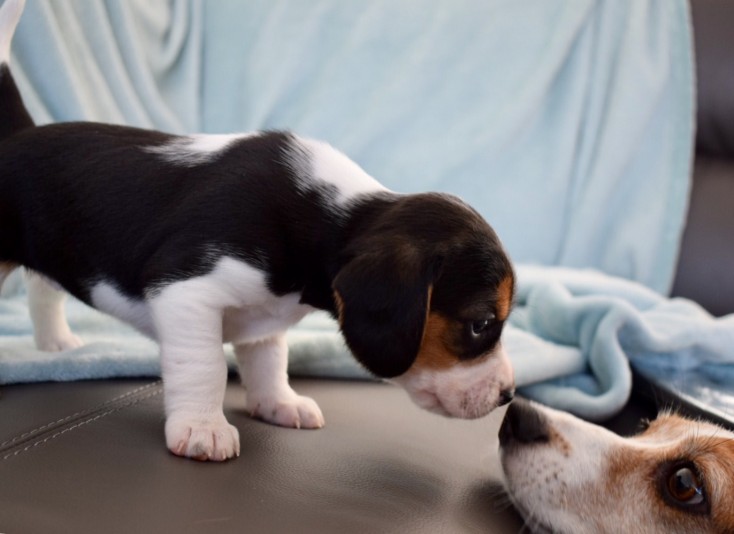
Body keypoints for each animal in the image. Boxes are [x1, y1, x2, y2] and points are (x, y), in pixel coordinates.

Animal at [0, 0, 516, 460]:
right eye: (481, 324)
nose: (510, 394)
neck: (328, 216)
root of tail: (17, 136)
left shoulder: (262, 321)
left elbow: (270, 363)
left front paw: (278, 404)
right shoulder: (185, 291)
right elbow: (206, 365)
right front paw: (203, 428)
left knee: (42, 289)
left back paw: (56, 344)